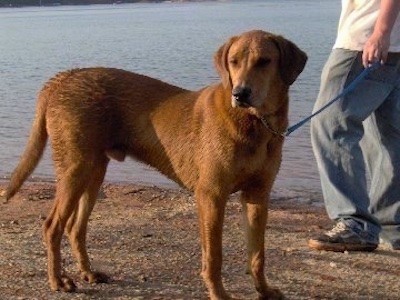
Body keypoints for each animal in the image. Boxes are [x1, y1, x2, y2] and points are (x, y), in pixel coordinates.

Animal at [4, 29, 306, 298]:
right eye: (233, 61)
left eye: (264, 61)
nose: (240, 93)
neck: (256, 123)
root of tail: (65, 77)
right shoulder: (211, 195)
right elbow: (214, 256)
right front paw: (219, 294)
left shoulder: (258, 195)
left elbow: (258, 254)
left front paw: (264, 291)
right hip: (74, 169)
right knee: (52, 226)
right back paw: (58, 280)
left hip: (93, 172)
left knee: (75, 228)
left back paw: (88, 273)